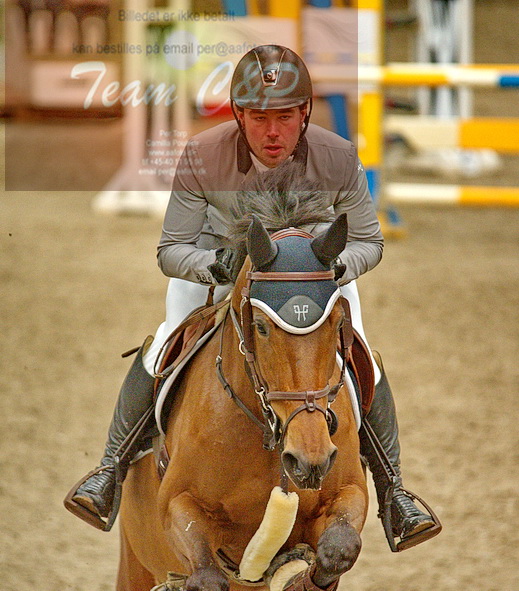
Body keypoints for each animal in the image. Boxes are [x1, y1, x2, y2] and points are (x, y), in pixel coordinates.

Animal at [118, 172, 370, 591]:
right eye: (262, 327)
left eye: (337, 323)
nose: (309, 461)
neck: (269, 433)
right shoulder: (177, 504)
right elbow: (207, 574)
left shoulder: (348, 491)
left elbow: (339, 550)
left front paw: (294, 571)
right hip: (134, 560)